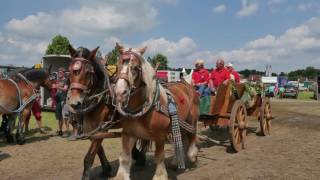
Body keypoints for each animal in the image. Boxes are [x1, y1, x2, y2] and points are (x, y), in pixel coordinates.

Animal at [68, 45, 147, 180]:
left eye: (88, 72)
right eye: (69, 71)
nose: (75, 102)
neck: (101, 98)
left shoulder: (101, 128)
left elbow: (89, 157)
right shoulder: (92, 129)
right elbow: (99, 150)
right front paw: (106, 169)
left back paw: (140, 157)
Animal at [114, 44, 200, 180]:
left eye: (135, 68)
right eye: (117, 66)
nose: (120, 93)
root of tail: (186, 83)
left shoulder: (159, 135)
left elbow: (159, 156)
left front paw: (160, 175)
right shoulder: (128, 134)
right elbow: (125, 157)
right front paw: (122, 175)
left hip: (191, 119)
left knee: (192, 135)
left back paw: (192, 156)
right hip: (178, 122)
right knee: (180, 140)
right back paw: (176, 162)